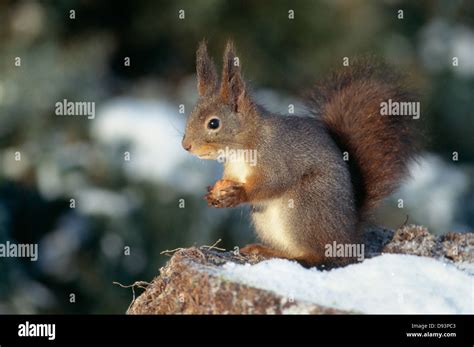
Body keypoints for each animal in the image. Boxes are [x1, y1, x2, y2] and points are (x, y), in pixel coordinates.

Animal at [181, 42, 418, 268]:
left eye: (214, 123)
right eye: (191, 115)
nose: (186, 146)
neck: (241, 146)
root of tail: (348, 236)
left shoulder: (275, 157)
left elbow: (274, 182)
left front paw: (237, 195)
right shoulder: (232, 171)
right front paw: (211, 193)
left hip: (306, 203)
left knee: (318, 255)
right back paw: (265, 250)